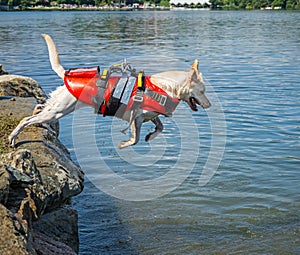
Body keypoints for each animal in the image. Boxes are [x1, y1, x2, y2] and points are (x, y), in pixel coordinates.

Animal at [8, 34, 211, 149]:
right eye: (202, 91)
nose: (209, 105)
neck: (164, 88)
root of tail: (65, 73)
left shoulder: (150, 116)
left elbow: (159, 127)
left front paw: (150, 135)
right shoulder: (135, 118)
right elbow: (135, 139)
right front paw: (125, 144)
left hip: (58, 110)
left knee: (39, 110)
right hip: (58, 111)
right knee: (26, 120)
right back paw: (13, 137)